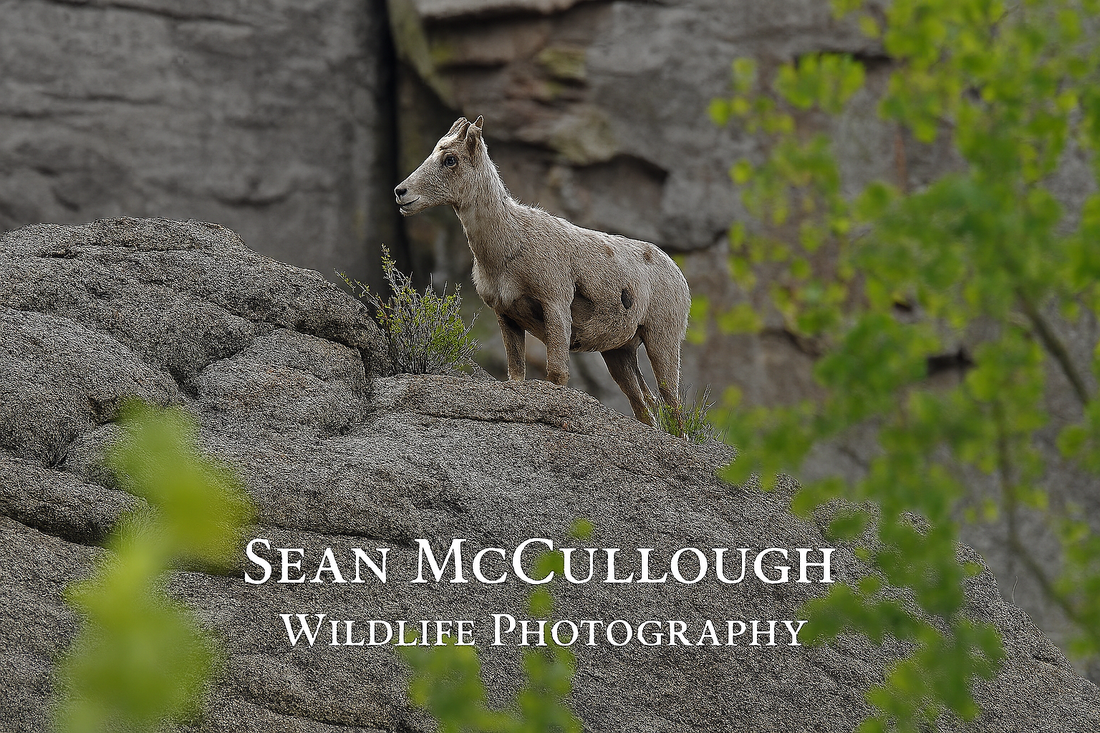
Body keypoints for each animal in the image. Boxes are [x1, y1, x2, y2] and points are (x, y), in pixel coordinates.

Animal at [393, 115, 691, 428]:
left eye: (450, 159)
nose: (401, 192)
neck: (509, 247)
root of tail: (678, 276)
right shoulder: (506, 316)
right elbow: (516, 373)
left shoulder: (555, 305)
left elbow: (557, 374)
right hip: (619, 353)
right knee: (646, 406)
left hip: (661, 341)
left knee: (673, 406)